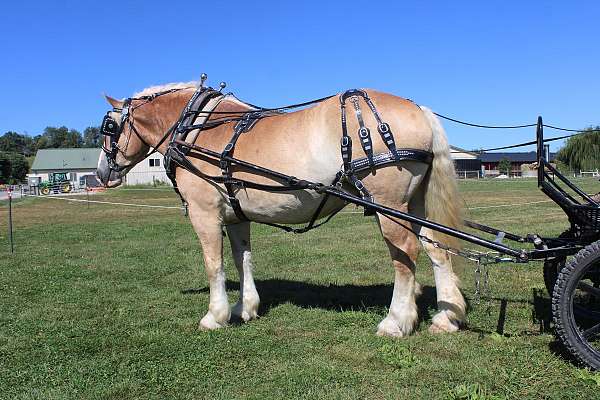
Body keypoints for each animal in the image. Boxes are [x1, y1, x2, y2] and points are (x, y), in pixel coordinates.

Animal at [96, 82, 466, 338]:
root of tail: (419, 109)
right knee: (436, 249)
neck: (196, 129)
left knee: (405, 255)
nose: (101, 174)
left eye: (109, 128)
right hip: (414, 204)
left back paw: (396, 321)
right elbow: (242, 260)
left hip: (388, 206)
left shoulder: (205, 213)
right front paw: (244, 308)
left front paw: (215, 316)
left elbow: (213, 265)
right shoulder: (236, 216)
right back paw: (446, 317)